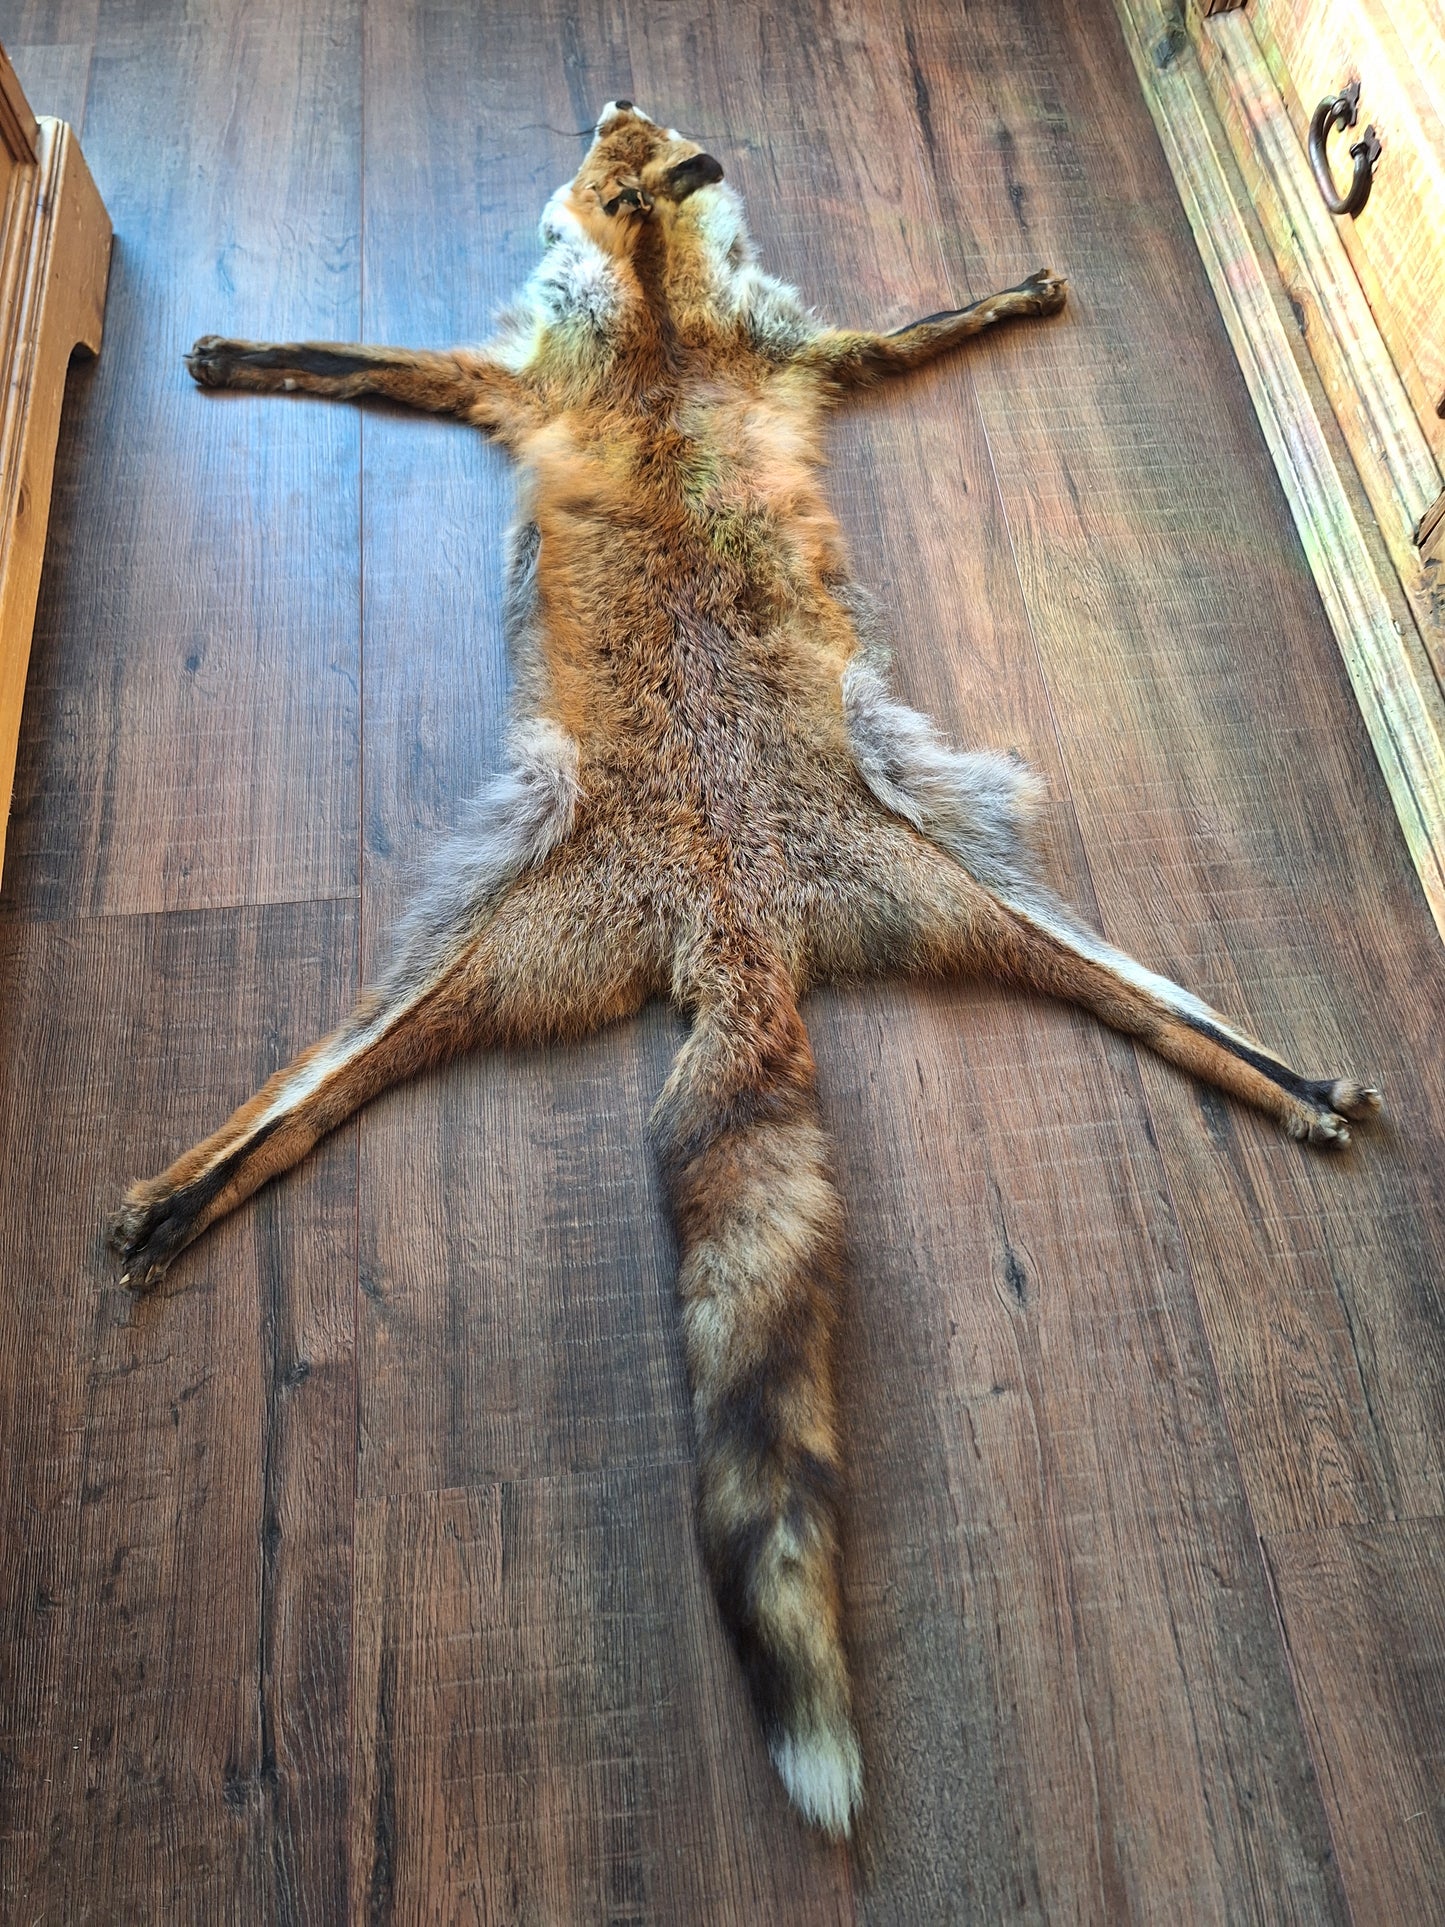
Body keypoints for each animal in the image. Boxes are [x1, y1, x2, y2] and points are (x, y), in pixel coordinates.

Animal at [109, 99, 1381, 1839]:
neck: (656, 331)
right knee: (307, 1097)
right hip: (692, 920)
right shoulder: (538, 379)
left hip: (685, 918)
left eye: (631, 141)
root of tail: (739, 922)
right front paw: (242, 349)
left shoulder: (721, 364)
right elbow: (348, 351)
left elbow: (909, 324)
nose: (615, 105)